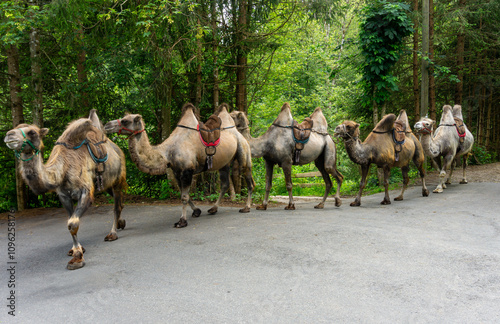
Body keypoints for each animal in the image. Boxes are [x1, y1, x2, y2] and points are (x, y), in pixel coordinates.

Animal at [3, 110, 128, 270]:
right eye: (15, 128)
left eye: (32, 132)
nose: (9, 135)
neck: (63, 169)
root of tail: (117, 148)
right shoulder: (64, 196)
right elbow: (70, 220)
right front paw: (76, 250)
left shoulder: (85, 191)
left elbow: (72, 223)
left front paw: (77, 258)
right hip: (106, 185)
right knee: (119, 201)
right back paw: (120, 223)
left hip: (118, 178)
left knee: (116, 206)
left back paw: (112, 234)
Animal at [104, 102, 254, 228]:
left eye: (125, 121)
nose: (106, 125)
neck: (167, 152)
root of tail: (239, 133)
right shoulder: (176, 171)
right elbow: (182, 194)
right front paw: (197, 211)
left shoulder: (187, 170)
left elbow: (184, 196)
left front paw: (182, 221)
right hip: (224, 163)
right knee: (224, 184)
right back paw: (213, 208)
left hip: (243, 150)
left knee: (248, 178)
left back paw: (246, 207)